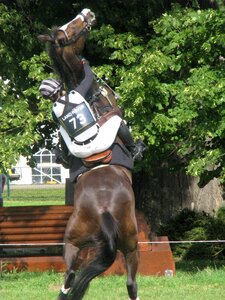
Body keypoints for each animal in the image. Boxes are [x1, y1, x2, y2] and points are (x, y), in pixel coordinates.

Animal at [38, 8, 139, 300]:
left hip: (72, 243)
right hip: (130, 244)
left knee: (69, 276)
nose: (88, 13)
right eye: (71, 29)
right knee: (131, 283)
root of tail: (103, 209)